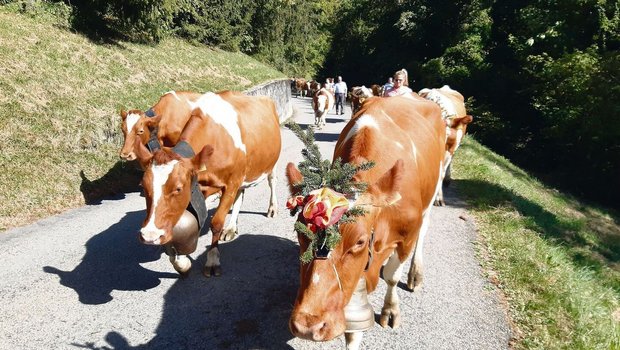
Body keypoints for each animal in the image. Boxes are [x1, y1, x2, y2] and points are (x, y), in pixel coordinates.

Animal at [139, 90, 280, 276]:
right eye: (143, 186)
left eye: (178, 188)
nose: (149, 235)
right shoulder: (201, 189)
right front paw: (181, 263)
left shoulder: (231, 183)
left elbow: (216, 223)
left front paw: (212, 260)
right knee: (240, 194)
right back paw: (231, 227)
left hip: (271, 163)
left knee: (272, 181)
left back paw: (272, 208)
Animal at [286, 93, 446, 348]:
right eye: (301, 234)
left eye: (359, 242)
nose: (308, 327)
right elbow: (353, 328)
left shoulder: (407, 235)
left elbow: (392, 276)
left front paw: (391, 310)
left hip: (434, 189)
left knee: (425, 229)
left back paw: (415, 273)